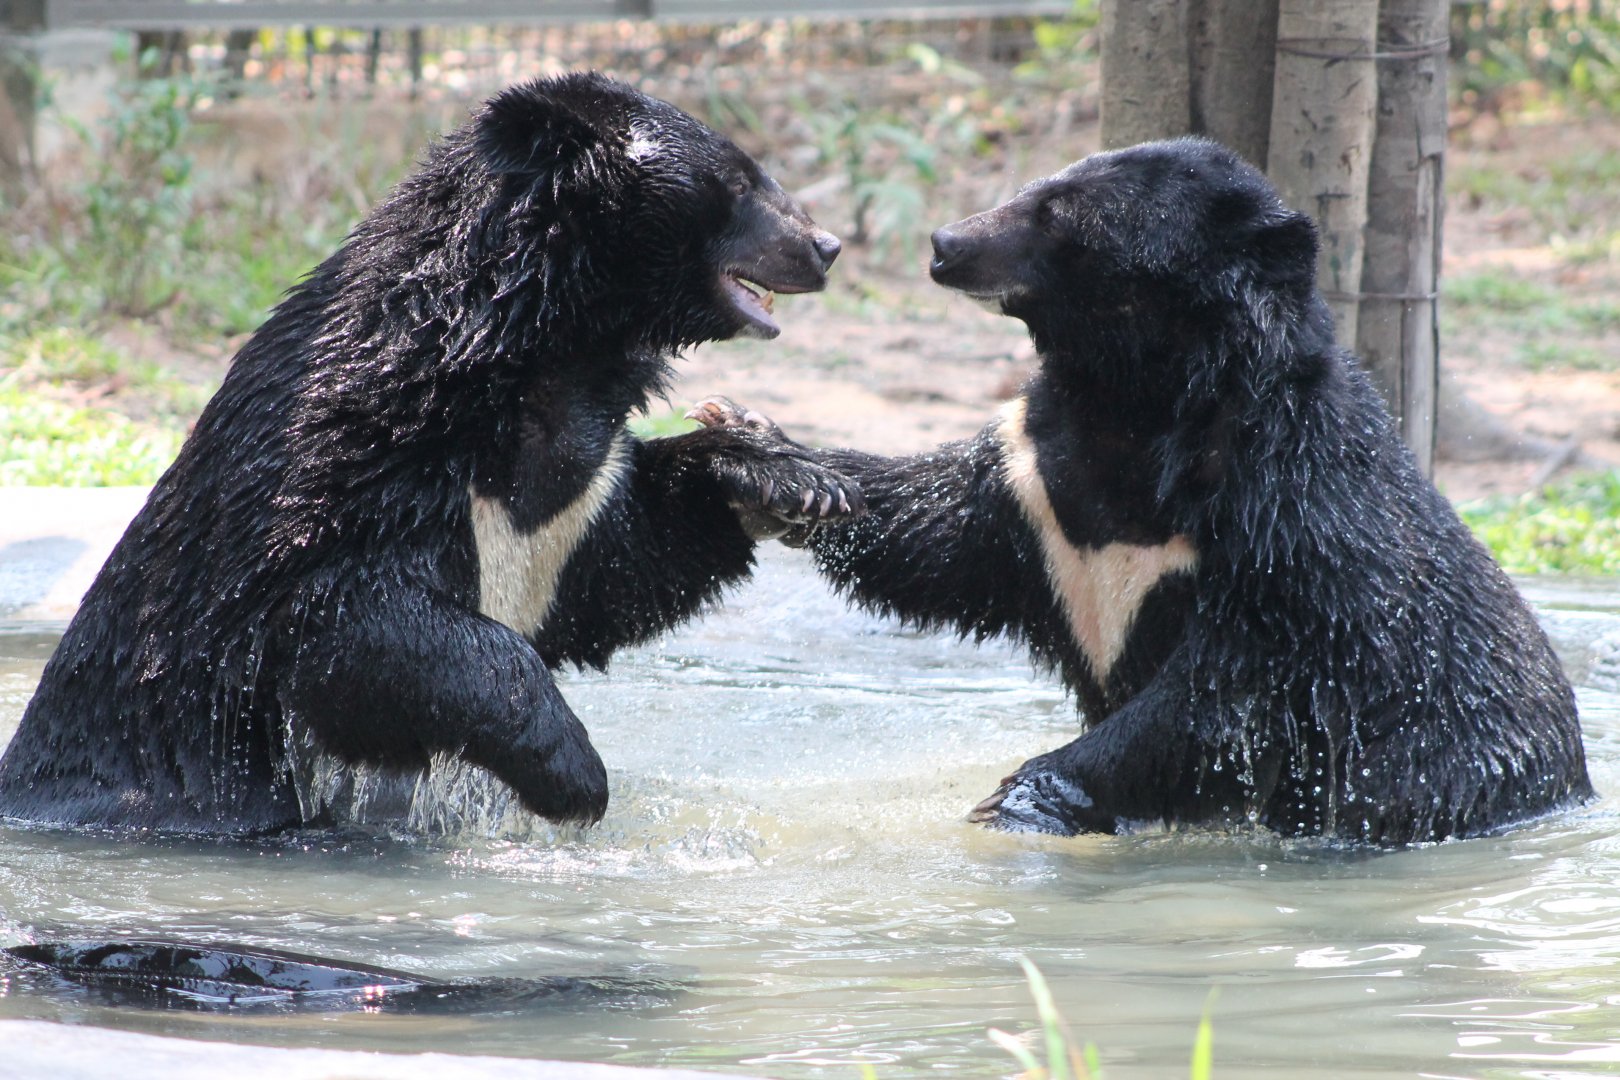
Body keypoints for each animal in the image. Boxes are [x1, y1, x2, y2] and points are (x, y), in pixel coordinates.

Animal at [0, 72, 861, 836]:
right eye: (741, 179)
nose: (827, 246)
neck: (533, 352)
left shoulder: (561, 485)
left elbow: (612, 562)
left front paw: (785, 478)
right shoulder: (361, 463)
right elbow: (351, 626)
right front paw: (575, 773)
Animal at [697, 137, 1593, 845]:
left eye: (1060, 212)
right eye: (1043, 182)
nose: (945, 243)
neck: (1135, 397)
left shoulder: (1291, 528)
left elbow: (1224, 702)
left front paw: (1023, 794)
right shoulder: (1036, 479)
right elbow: (940, 532)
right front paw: (762, 456)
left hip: (1441, 777)